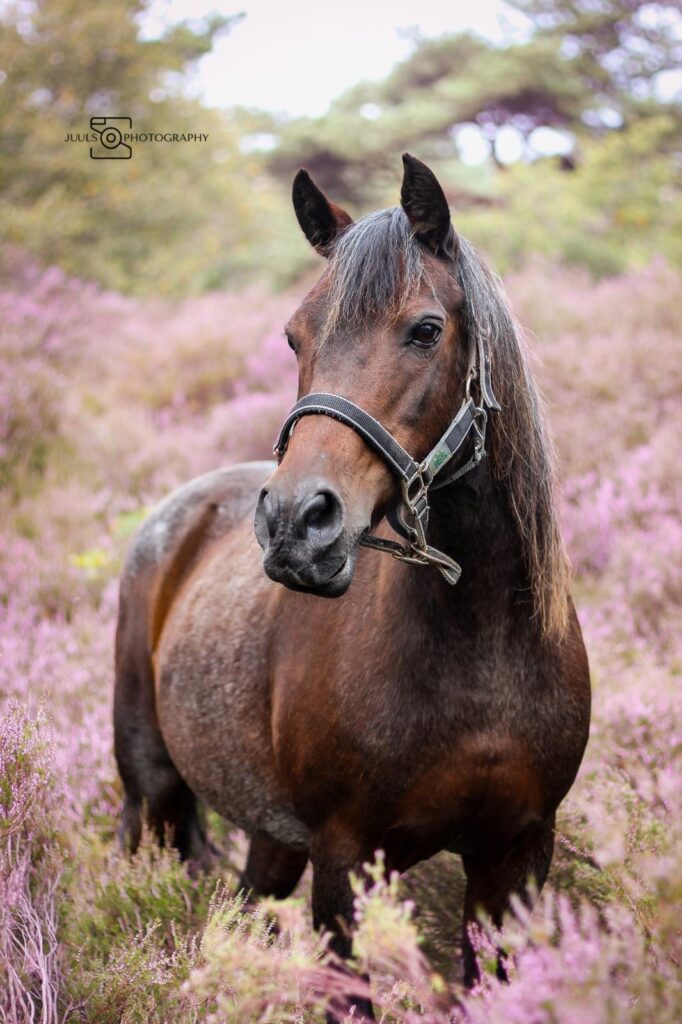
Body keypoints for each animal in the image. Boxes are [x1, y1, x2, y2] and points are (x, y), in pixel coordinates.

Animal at [113, 154, 591, 1019]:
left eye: (425, 329)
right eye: (294, 336)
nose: (295, 523)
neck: (481, 647)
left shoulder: (515, 857)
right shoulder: (344, 862)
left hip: (271, 839)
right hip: (152, 794)